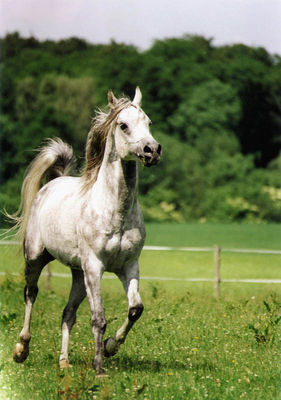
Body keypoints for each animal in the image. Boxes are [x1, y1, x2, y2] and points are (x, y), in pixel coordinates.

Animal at [10, 87, 161, 376]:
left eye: (148, 122)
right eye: (123, 125)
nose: (152, 151)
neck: (115, 212)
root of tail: (52, 183)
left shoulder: (128, 266)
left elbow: (135, 308)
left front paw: (112, 347)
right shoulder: (95, 267)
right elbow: (98, 318)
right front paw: (99, 367)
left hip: (78, 274)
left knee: (67, 313)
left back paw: (64, 361)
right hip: (36, 258)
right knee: (30, 294)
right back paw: (21, 349)